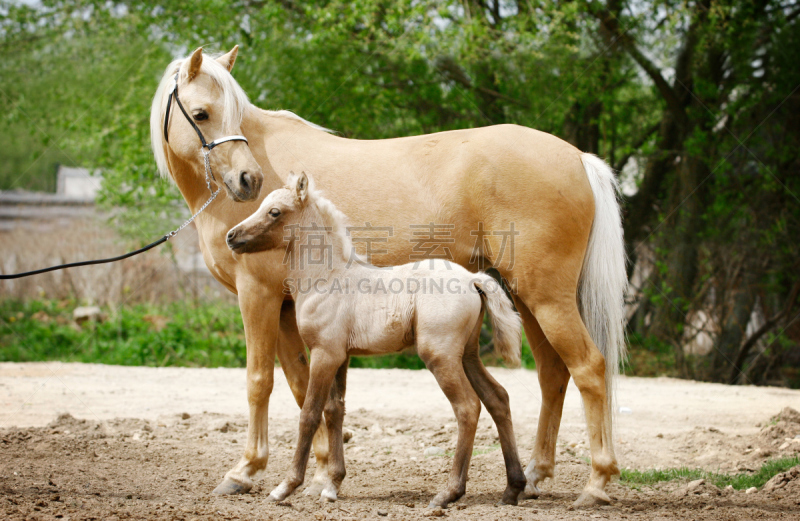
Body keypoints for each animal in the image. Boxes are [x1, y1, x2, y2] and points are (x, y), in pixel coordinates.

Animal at [227, 173, 524, 506]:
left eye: (275, 212)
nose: (231, 236)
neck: (326, 279)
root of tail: (473, 279)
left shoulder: (324, 354)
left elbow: (309, 413)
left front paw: (286, 486)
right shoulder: (341, 356)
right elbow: (335, 411)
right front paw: (332, 485)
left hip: (441, 356)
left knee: (468, 407)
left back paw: (448, 492)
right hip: (468, 355)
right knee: (498, 398)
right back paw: (513, 488)